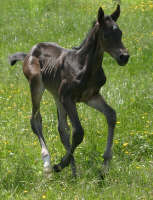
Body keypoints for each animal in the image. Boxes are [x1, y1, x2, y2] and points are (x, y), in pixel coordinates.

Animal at [9, 5, 129, 177]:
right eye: (106, 35)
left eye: (120, 33)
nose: (124, 57)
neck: (84, 65)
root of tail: (29, 53)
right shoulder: (68, 97)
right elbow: (78, 131)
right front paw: (59, 165)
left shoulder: (90, 96)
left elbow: (111, 115)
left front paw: (104, 166)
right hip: (36, 83)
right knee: (36, 119)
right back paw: (48, 165)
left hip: (56, 94)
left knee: (62, 127)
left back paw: (74, 173)